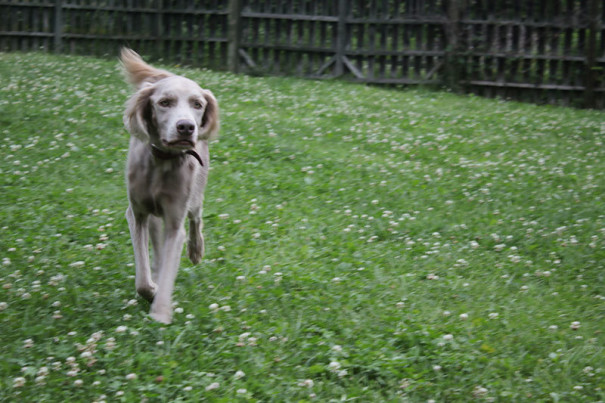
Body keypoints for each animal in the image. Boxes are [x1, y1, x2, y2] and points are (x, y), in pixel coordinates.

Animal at [120, 48, 219, 326]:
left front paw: (161, 313)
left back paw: (196, 250)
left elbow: (170, 261)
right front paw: (151, 289)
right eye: (164, 102)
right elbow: (143, 277)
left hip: (196, 195)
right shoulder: (137, 214)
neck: (162, 162)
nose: (186, 127)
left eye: (198, 104)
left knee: (196, 218)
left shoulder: (175, 222)